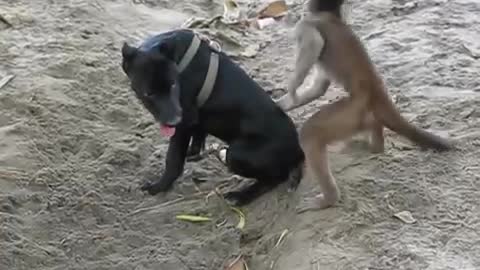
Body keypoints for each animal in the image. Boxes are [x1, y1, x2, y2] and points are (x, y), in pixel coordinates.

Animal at [122, 29, 306, 205]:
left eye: (173, 84)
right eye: (149, 93)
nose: (174, 120)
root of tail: (298, 150)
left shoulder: (184, 122)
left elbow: (173, 159)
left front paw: (159, 187)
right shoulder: (194, 121)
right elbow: (197, 137)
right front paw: (194, 153)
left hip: (237, 153)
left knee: (275, 178)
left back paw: (240, 196)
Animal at [278, 0, 454, 211]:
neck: (329, 15)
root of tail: (376, 87)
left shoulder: (306, 24)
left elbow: (314, 42)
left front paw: (292, 89)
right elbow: (320, 87)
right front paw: (286, 102)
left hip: (352, 109)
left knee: (310, 133)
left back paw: (330, 198)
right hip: (356, 112)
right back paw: (374, 137)